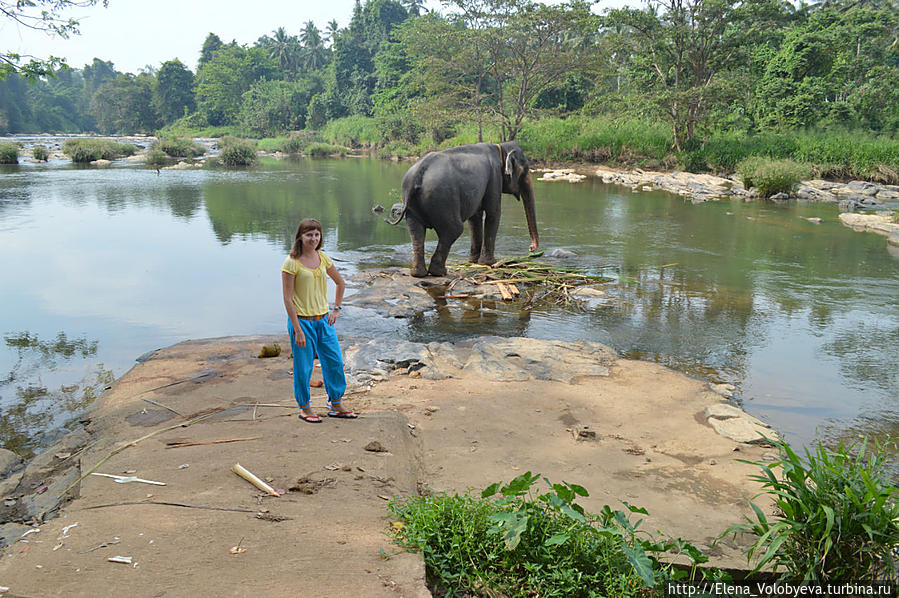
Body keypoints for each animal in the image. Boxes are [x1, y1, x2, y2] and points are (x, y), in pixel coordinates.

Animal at [384, 141, 536, 278]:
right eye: (525, 170)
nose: (531, 248)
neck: (501, 146)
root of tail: (417, 174)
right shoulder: (494, 178)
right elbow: (493, 213)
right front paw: (490, 263)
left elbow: (475, 217)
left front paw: (473, 261)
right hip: (443, 199)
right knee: (454, 229)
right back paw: (440, 272)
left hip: (412, 205)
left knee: (416, 232)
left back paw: (418, 274)